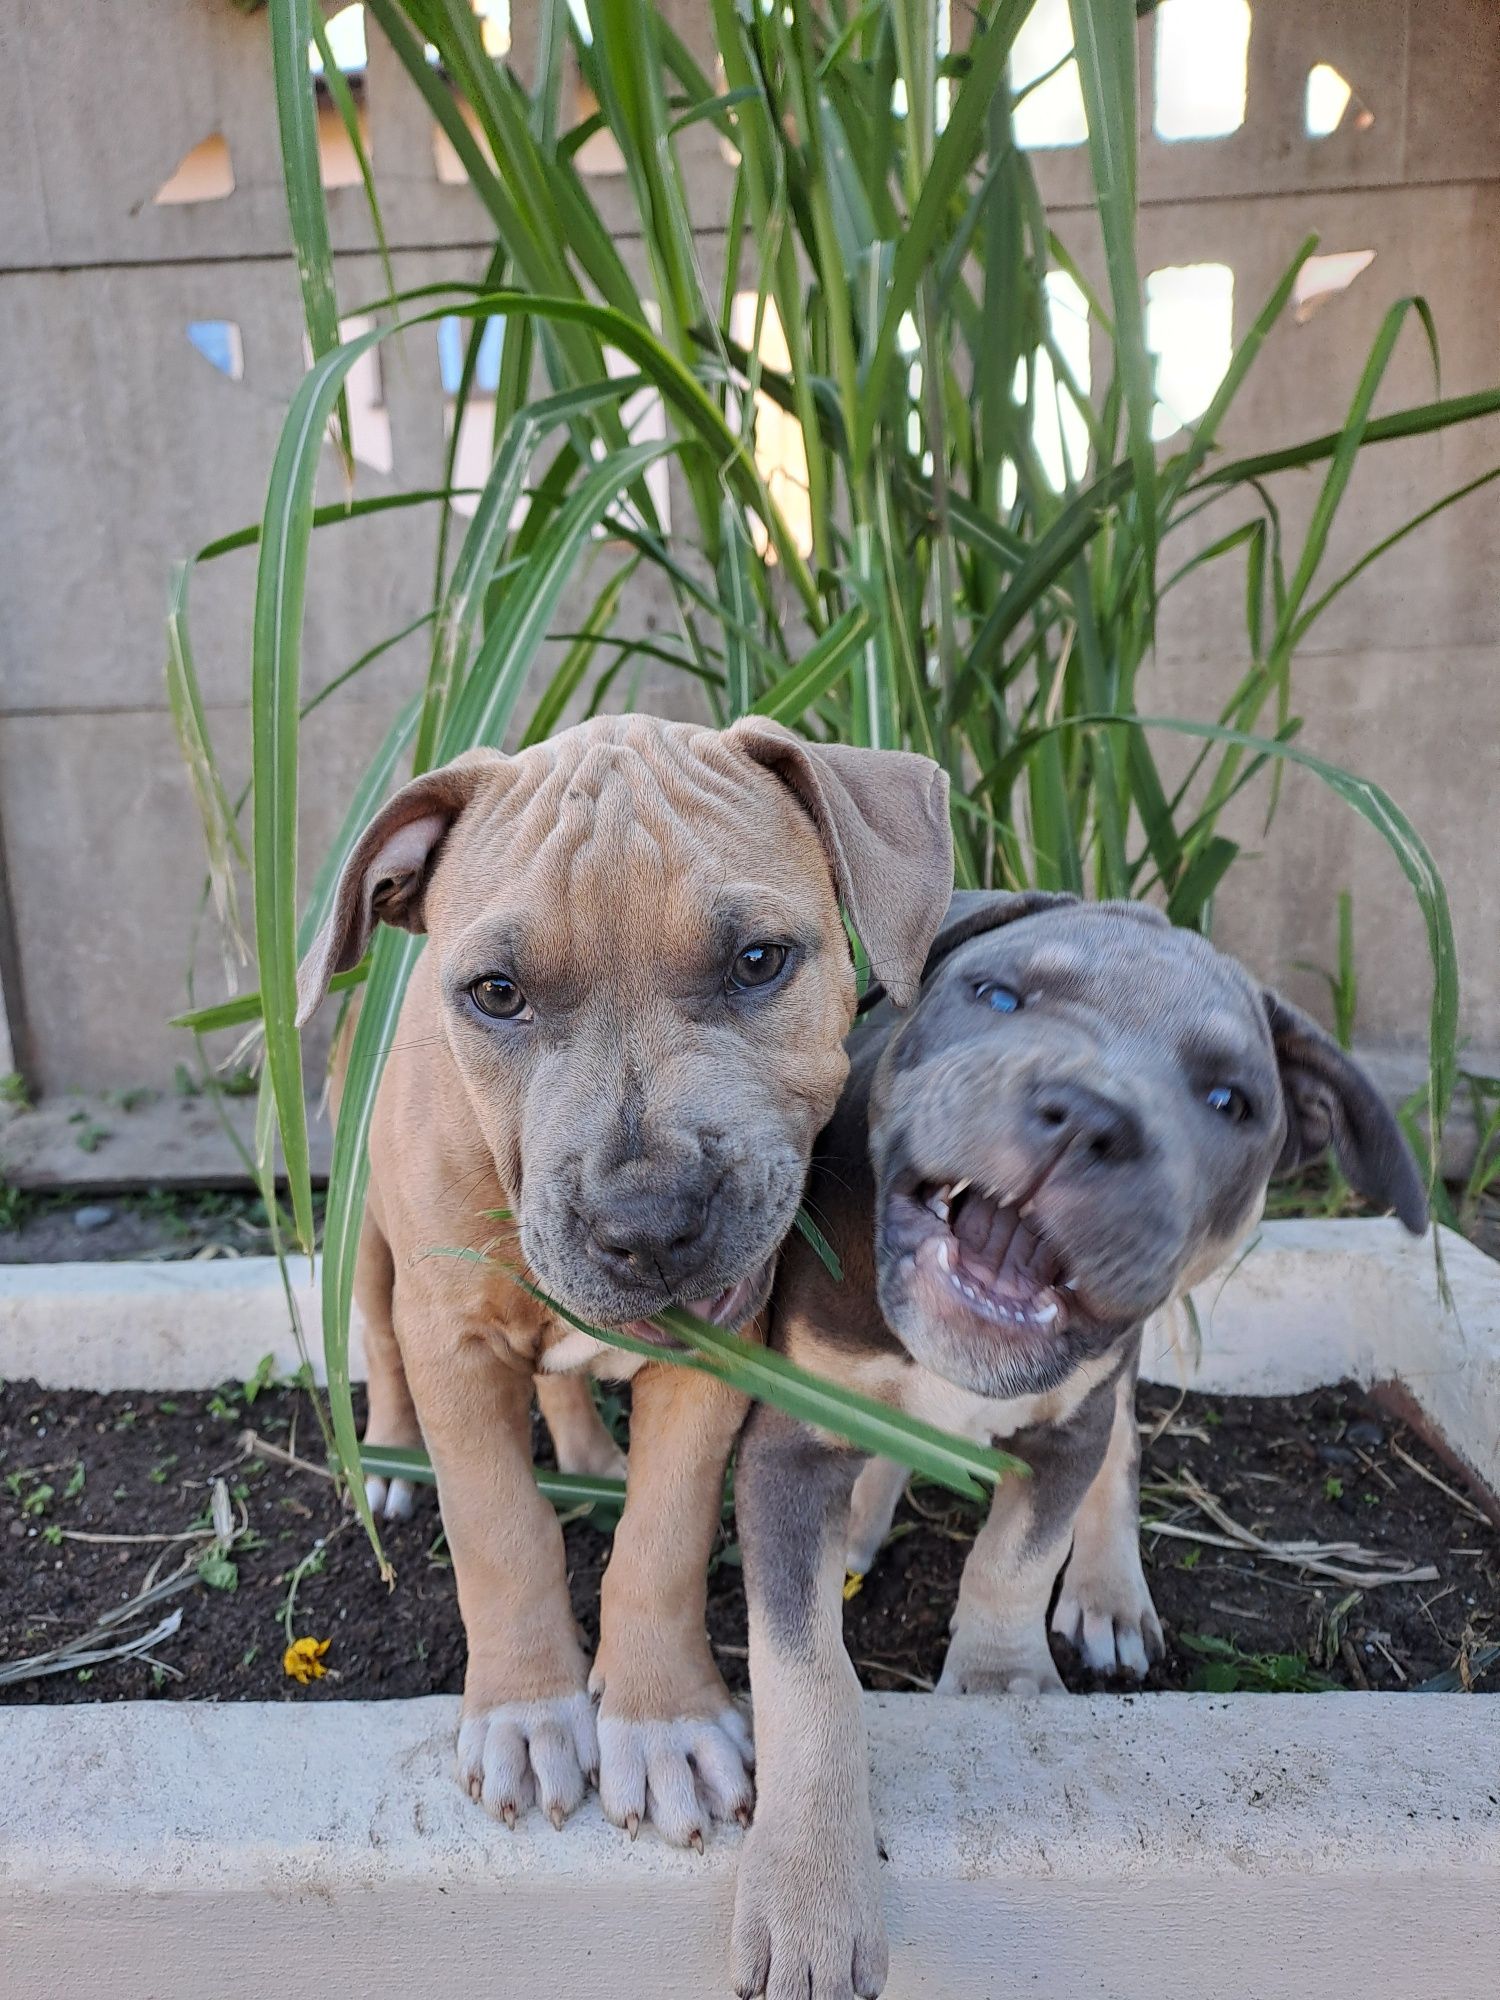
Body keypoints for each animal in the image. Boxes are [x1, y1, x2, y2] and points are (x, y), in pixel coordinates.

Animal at [736, 896, 1424, 2000]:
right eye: (998, 996)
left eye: (1229, 1099)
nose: (1091, 1113)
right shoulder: (789, 1444)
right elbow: (807, 1675)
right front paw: (810, 1891)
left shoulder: (1066, 1428)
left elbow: (1017, 1559)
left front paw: (998, 1689)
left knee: (1122, 1452)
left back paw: (1107, 1593)